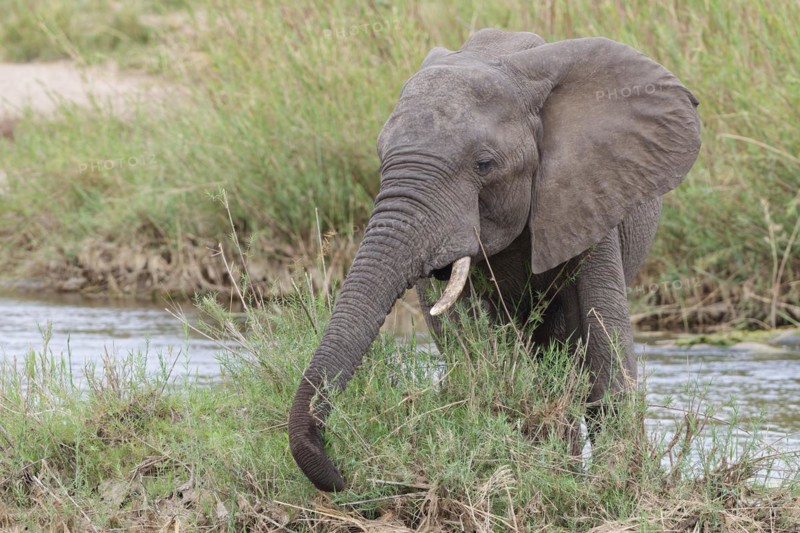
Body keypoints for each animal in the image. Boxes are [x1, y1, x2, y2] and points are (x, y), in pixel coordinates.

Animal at [288, 29, 701, 492]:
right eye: (381, 158)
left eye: (485, 164)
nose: (343, 473)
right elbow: (475, 339)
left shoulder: (593, 190)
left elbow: (602, 337)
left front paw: (614, 483)